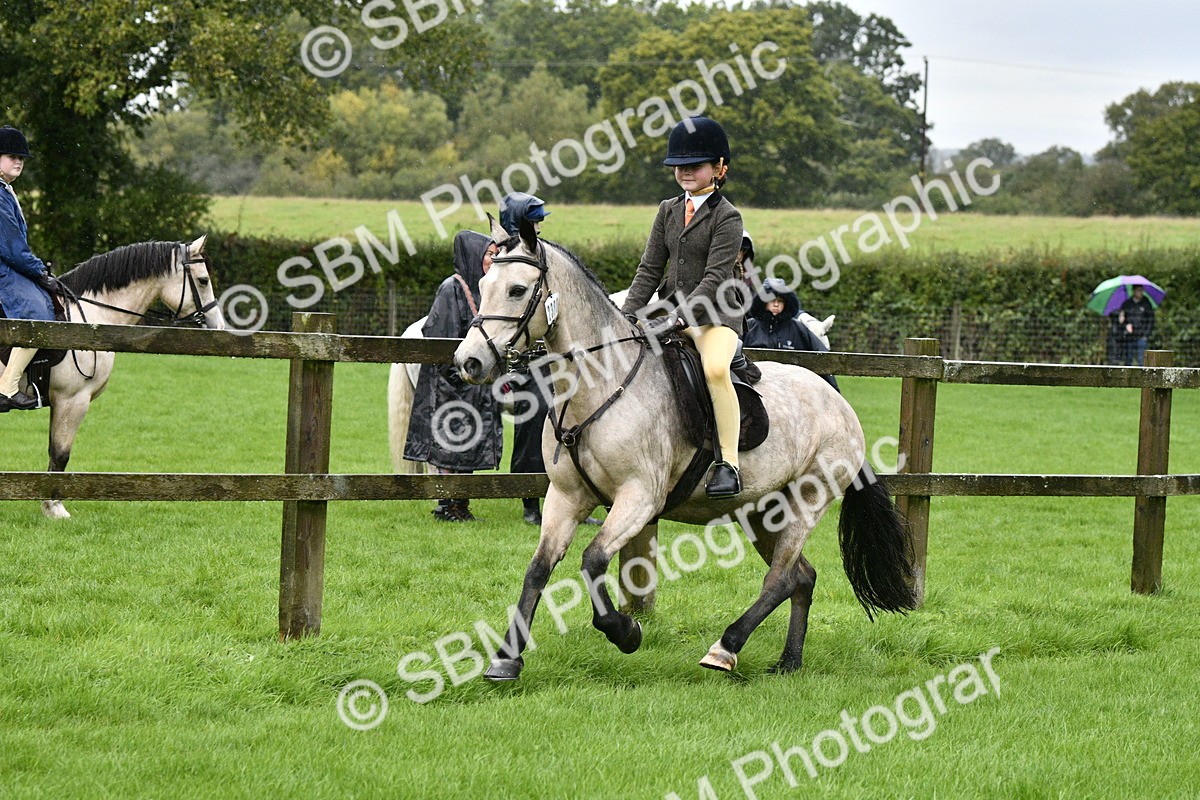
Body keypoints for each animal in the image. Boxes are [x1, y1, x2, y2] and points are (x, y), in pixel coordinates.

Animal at [6, 237, 226, 519]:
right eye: (203, 281)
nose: (219, 326)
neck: (91, 318)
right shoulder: (72, 400)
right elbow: (61, 453)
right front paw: (54, 507)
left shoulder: (60, 401)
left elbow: (53, 452)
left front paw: (49, 505)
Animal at [452, 217, 917, 680]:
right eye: (484, 282)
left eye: (517, 290)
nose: (468, 362)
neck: (600, 383)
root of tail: (840, 403)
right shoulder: (567, 496)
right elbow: (539, 568)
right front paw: (506, 659)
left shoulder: (639, 496)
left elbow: (593, 559)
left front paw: (625, 632)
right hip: (764, 512)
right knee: (802, 577)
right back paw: (788, 661)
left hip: (806, 500)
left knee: (781, 579)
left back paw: (725, 649)